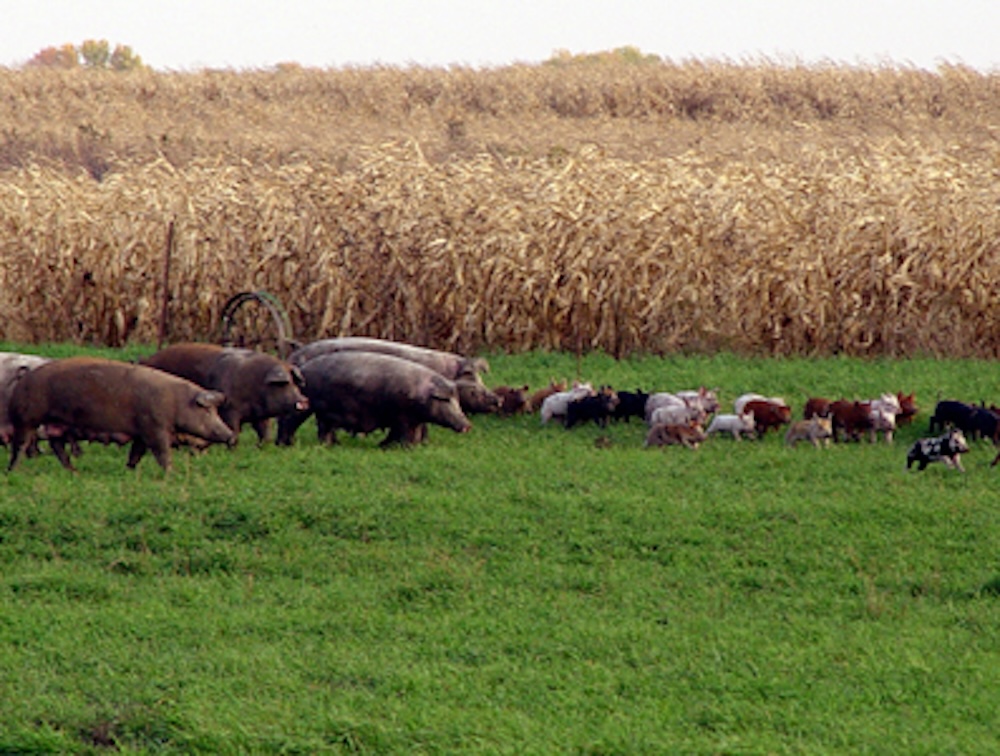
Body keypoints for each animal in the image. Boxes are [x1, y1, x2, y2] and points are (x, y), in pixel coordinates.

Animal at [6, 356, 233, 472]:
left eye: (215, 410)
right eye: (207, 410)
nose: (231, 435)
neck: (176, 403)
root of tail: (23, 380)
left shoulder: (141, 432)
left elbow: (136, 452)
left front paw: (129, 470)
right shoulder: (154, 427)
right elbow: (162, 453)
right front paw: (171, 473)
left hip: (56, 425)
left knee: (57, 446)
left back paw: (73, 471)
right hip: (26, 419)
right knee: (20, 445)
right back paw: (12, 471)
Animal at [139, 342, 306, 442]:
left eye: (295, 384)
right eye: (284, 384)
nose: (304, 400)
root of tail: (146, 360)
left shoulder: (260, 416)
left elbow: (264, 432)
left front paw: (263, 447)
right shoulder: (230, 409)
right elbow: (234, 430)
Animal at [278, 350, 472, 446]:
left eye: (457, 401)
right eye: (445, 400)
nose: (468, 425)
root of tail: (303, 369)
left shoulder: (415, 420)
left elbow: (414, 434)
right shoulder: (401, 416)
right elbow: (401, 434)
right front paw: (394, 447)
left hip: (325, 413)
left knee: (324, 428)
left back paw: (333, 444)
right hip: (308, 406)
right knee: (290, 422)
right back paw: (287, 444)